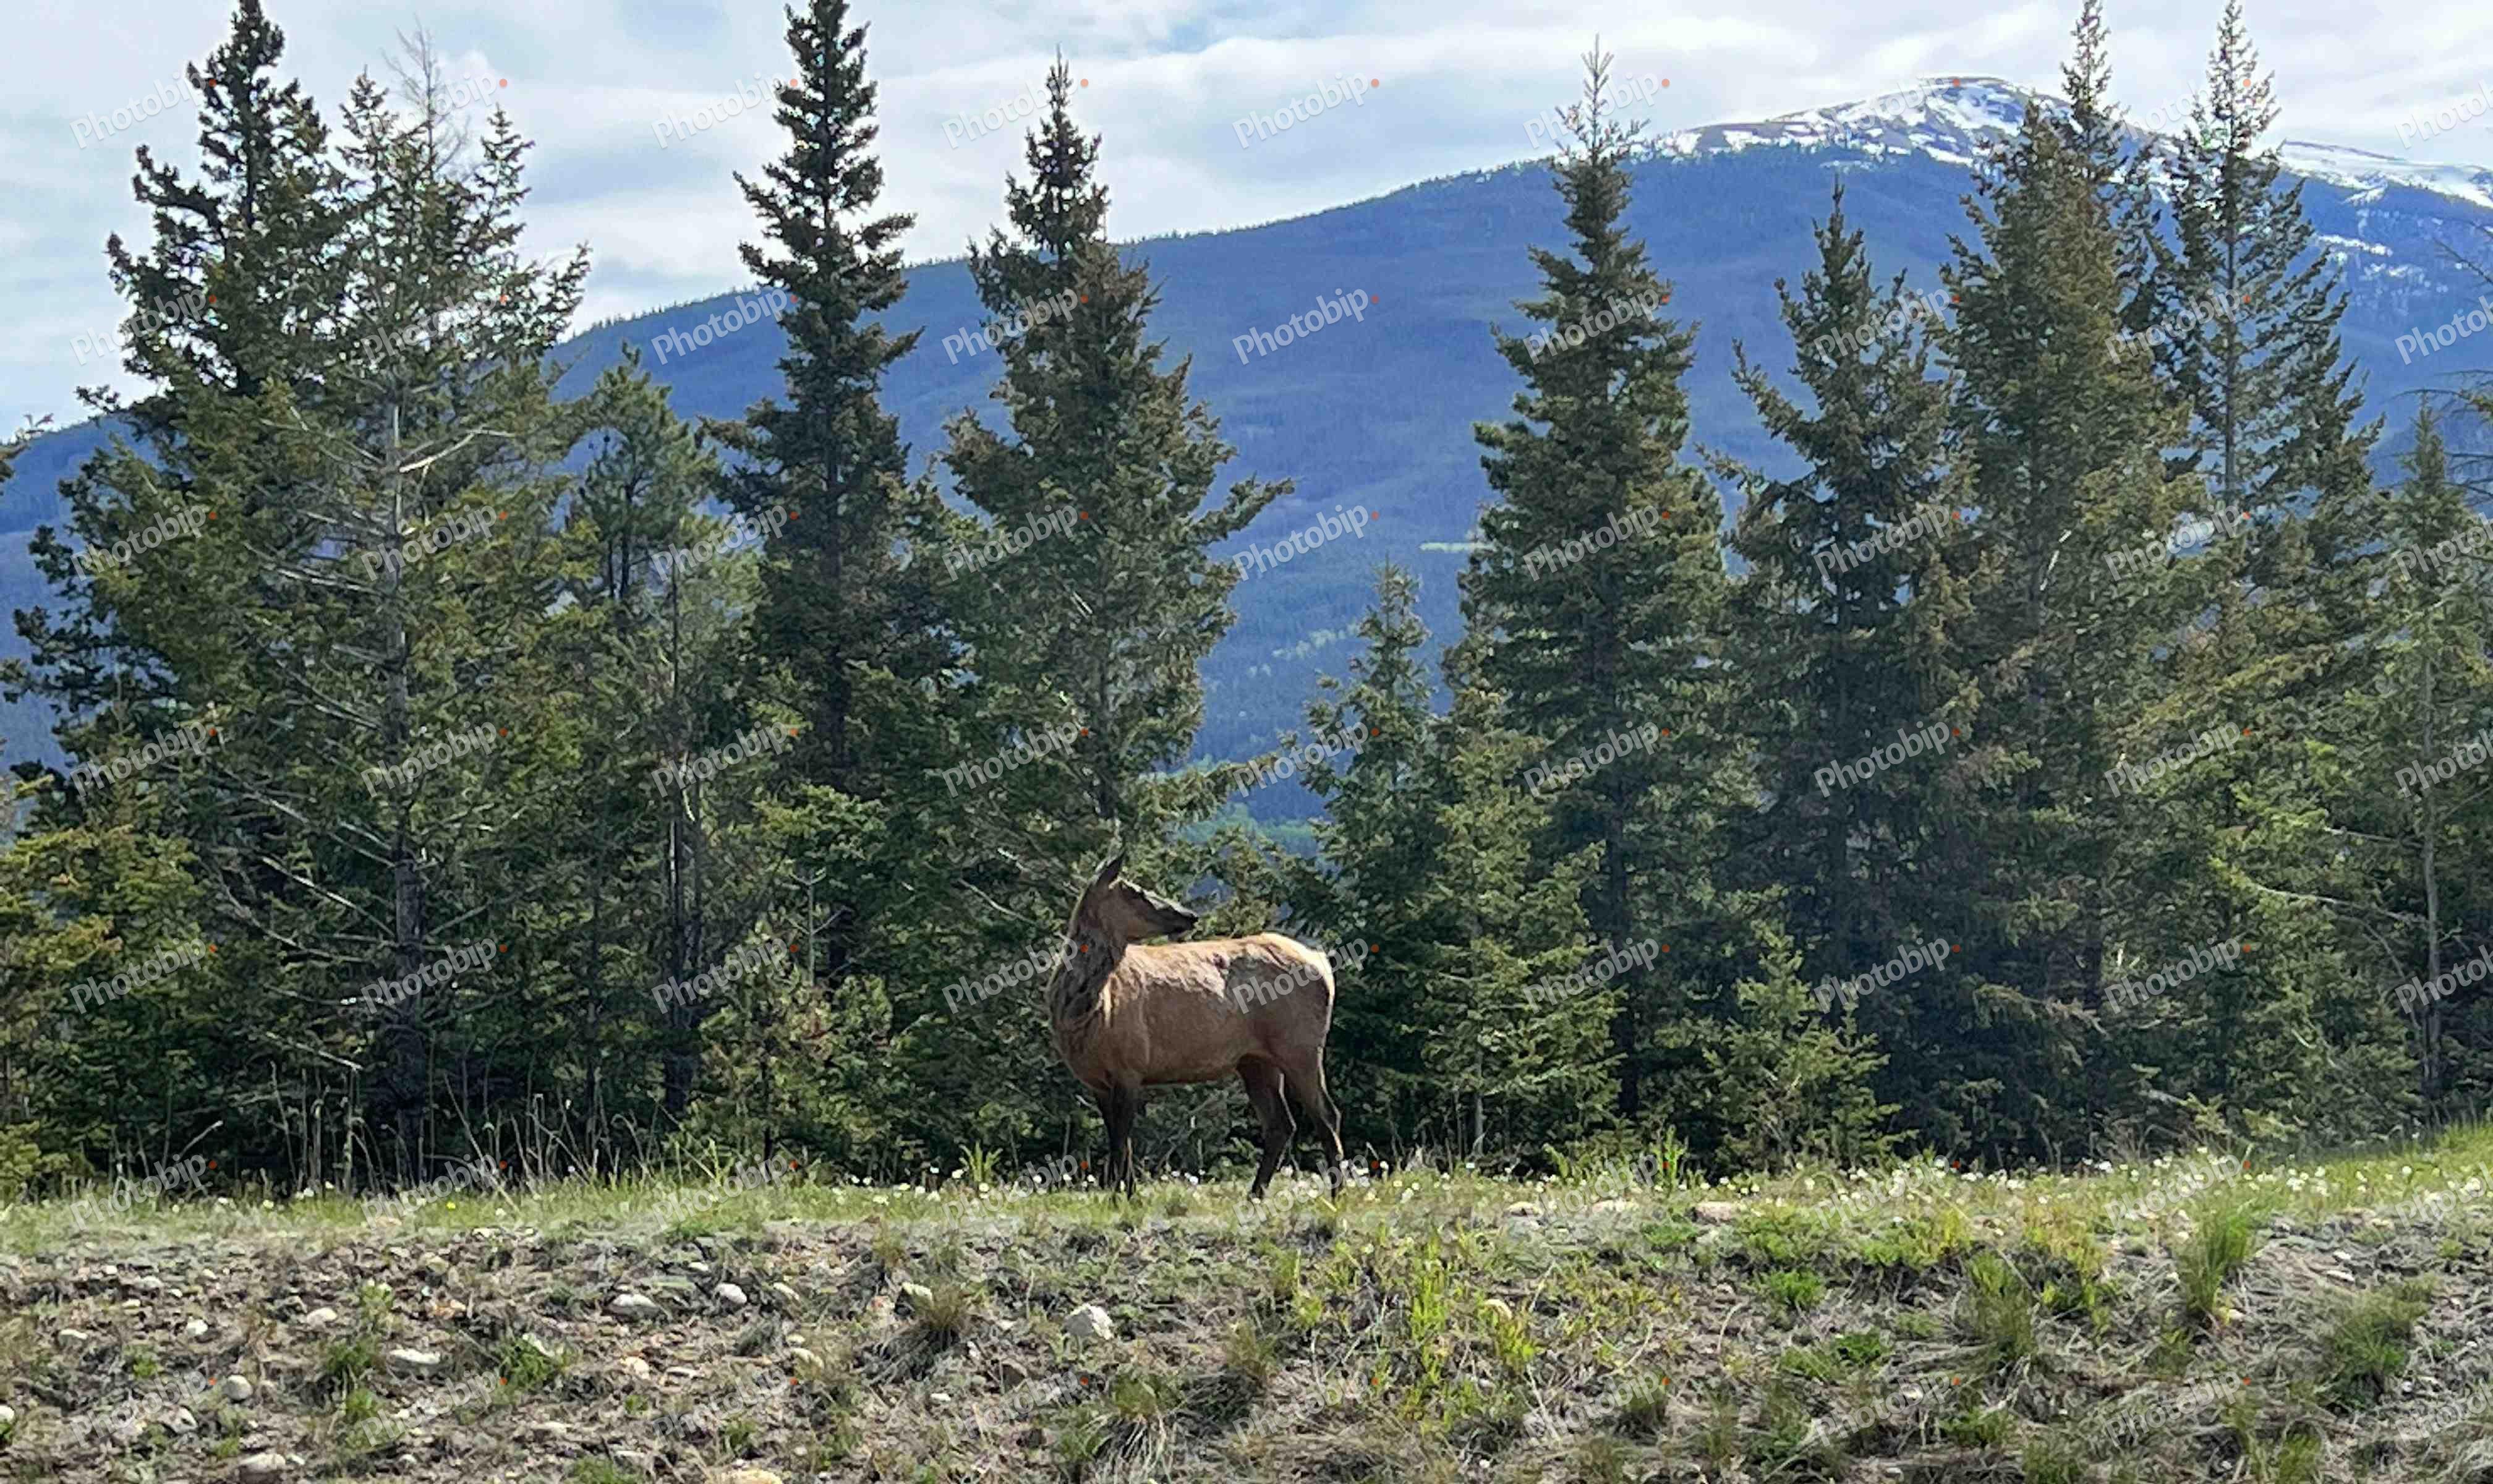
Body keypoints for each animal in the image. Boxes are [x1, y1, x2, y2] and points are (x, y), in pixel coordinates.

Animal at [1045, 855, 1347, 1199]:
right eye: (1135, 892)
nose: (1189, 915)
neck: (1087, 1011)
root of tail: (1322, 962)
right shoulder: (1097, 1079)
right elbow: (1122, 1142)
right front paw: (1128, 1194)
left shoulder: (1131, 1064)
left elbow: (1121, 1142)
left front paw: (1120, 1198)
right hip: (1256, 1060)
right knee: (1281, 1123)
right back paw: (1255, 1194)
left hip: (1301, 1045)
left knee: (1327, 1115)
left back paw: (1336, 1195)